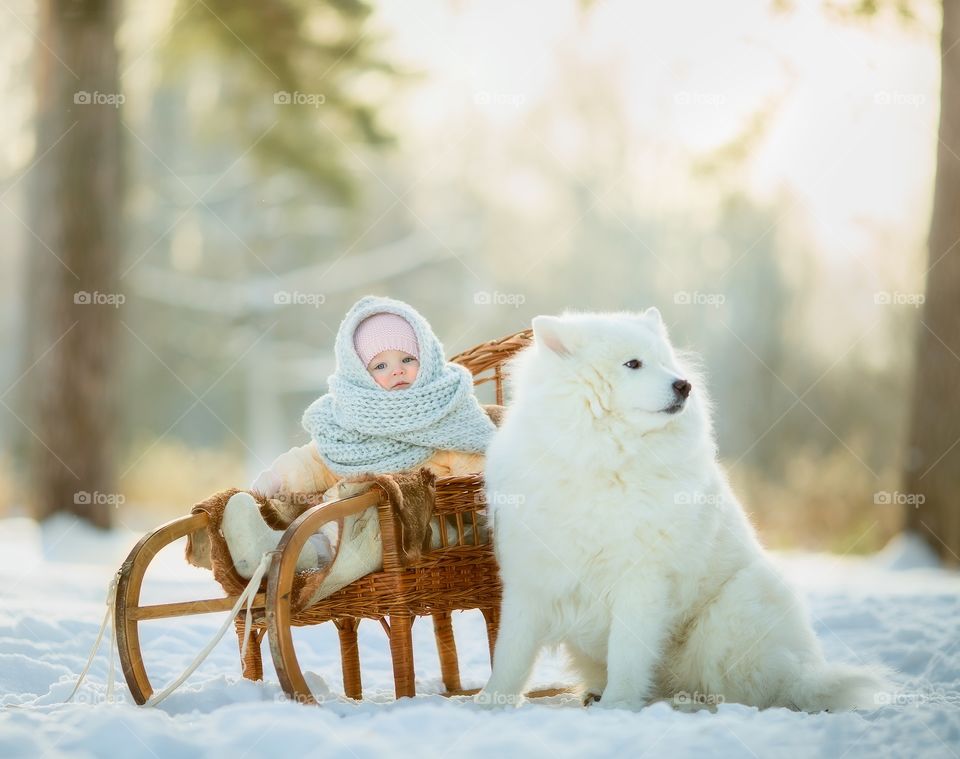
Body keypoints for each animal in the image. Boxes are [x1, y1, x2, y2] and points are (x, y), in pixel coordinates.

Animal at [480, 308, 892, 712]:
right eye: (633, 363)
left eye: (666, 362)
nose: (684, 385)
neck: (603, 459)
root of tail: (802, 672)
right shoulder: (529, 580)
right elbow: (511, 653)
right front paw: (490, 702)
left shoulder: (641, 579)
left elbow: (627, 653)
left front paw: (618, 706)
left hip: (730, 616)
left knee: (744, 691)